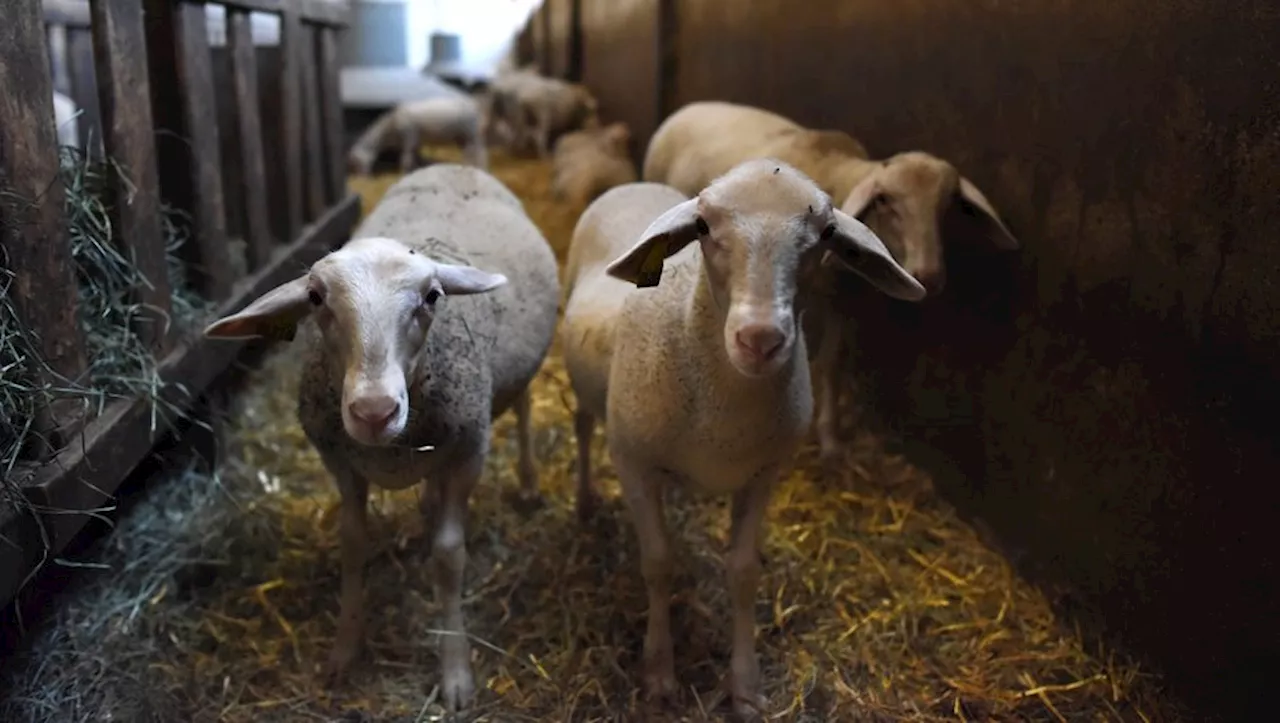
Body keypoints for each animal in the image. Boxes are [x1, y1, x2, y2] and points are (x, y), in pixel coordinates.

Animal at [200, 163, 560, 711]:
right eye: (315, 298)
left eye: (432, 297)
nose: (374, 411)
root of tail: (453, 164)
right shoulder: (340, 462)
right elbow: (352, 543)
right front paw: (345, 650)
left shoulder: (468, 454)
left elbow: (449, 556)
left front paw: (455, 670)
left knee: (520, 409)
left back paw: (527, 482)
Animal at [345, 92, 483, 175]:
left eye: (356, 161)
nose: (362, 178)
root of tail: (473, 104)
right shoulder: (415, 141)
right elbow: (415, 158)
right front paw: (415, 170)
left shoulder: (408, 139)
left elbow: (405, 159)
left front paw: (404, 174)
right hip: (461, 137)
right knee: (469, 151)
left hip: (471, 133)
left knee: (478, 152)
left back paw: (476, 166)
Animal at [565, 158, 926, 716]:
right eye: (703, 226)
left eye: (826, 234)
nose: (760, 339)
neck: (724, 410)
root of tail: (634, 182)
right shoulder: (632, 462)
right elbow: (658, 563)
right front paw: (660, 672)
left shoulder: (763, 474)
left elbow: (742, 572)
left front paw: (745, 684)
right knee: (583, 428)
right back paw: (584, 500)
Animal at [645, 99, 1024, 463]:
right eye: (885, 201)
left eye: (948, 205)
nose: (929, 274)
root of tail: (690, 107)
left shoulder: (844, 303)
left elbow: (833, 362)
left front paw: (832, 436)